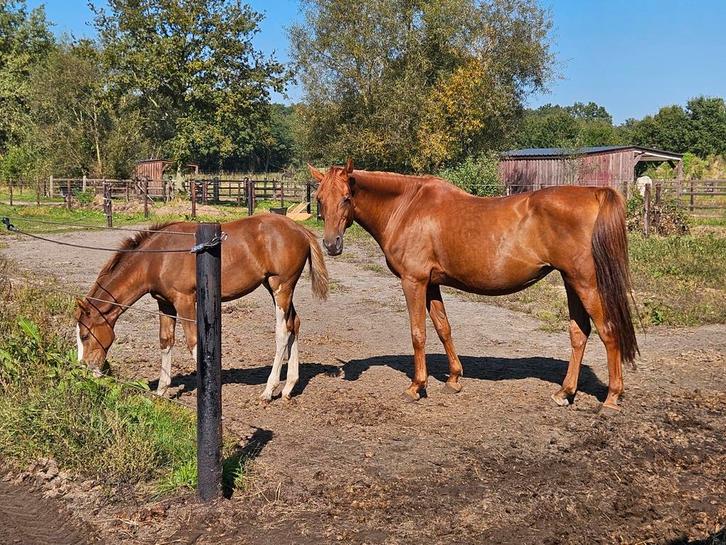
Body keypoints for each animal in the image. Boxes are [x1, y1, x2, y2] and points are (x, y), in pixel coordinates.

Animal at [75, 214, 329, 402]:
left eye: (85, 335)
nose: (86, 369)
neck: (157, 258)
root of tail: (300, 229)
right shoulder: (164, 303)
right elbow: (165, 341)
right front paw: (161, 391)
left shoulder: (185, 300)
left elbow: (194, 344)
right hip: (275, 287)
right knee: (294, 323)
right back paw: (288, 388)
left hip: (281, 286)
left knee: (283, 331)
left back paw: (269, 390)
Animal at [309, 159, 638, 411]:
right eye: (320, 199)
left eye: (347, 197)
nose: (332, 244)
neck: (407, 207)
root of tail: (594, 193)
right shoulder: (431, 284)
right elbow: (443, 327)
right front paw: (454, 379)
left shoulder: (413, 281)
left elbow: (418, 334)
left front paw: (417, 386)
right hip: (572, 282)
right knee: (579, 334)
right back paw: (564, 393)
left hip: (586, 284)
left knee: (608, 332)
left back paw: (611, 398)